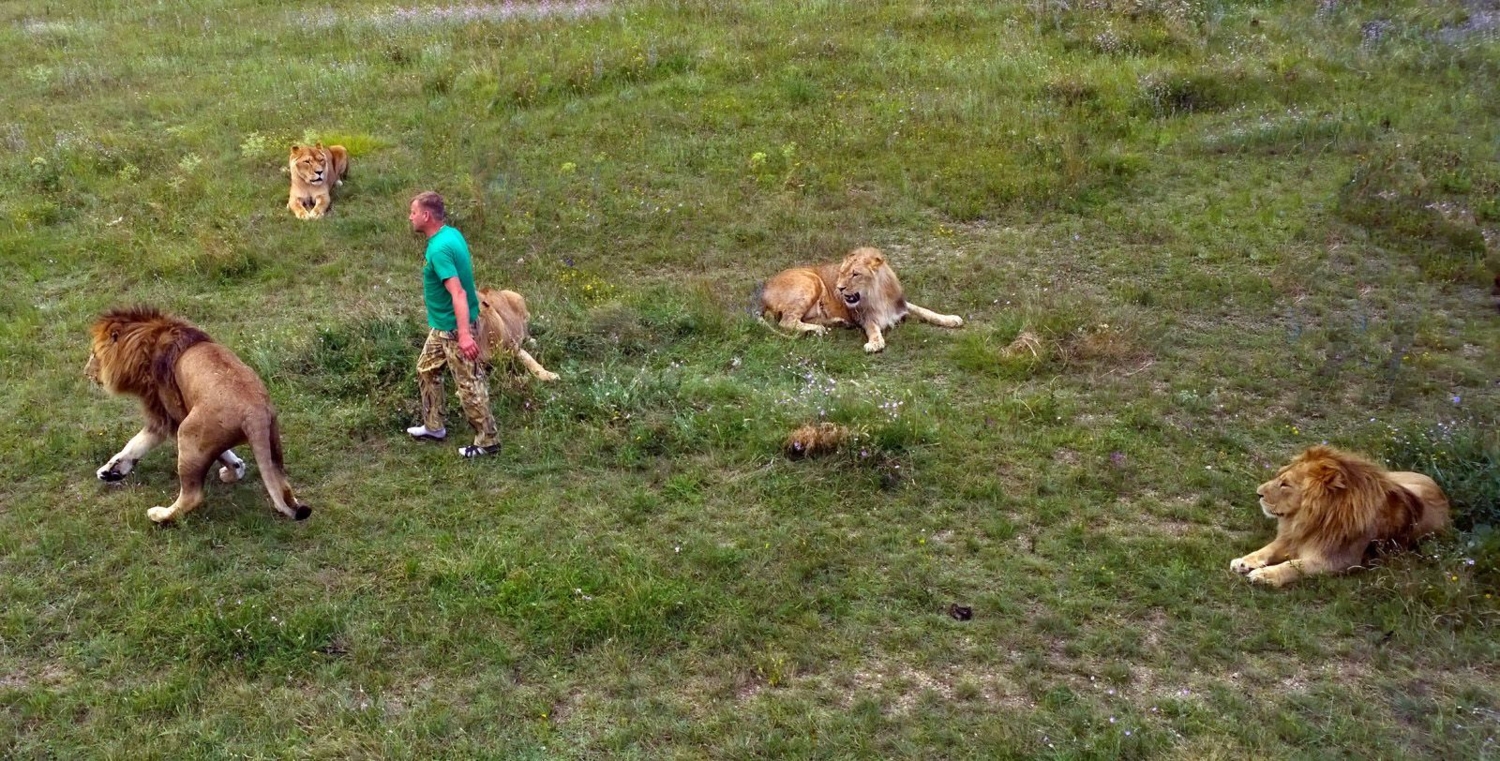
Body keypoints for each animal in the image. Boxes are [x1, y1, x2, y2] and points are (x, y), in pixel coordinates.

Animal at [83, 303, 312, 525]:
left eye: (94, 354)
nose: (86, 373)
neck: (148, 339)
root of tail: (254, 414)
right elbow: (134, 445)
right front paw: (110, 471)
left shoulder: (170, 414)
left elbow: (140, 441)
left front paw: (234, 468)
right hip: (272, 443)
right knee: (282, 486)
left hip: (188, 436)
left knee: (192, 496)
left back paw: (159, 515)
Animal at [1230, 447, 1452, 588]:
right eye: (1279, 476)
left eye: (1285, 484)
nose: (1258, 493)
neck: (1308, 520)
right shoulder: (1293, 537)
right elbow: (1267, 549)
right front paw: (1243, 561)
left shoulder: (1337, 561)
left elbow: (1293, 566)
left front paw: (1264, 575)